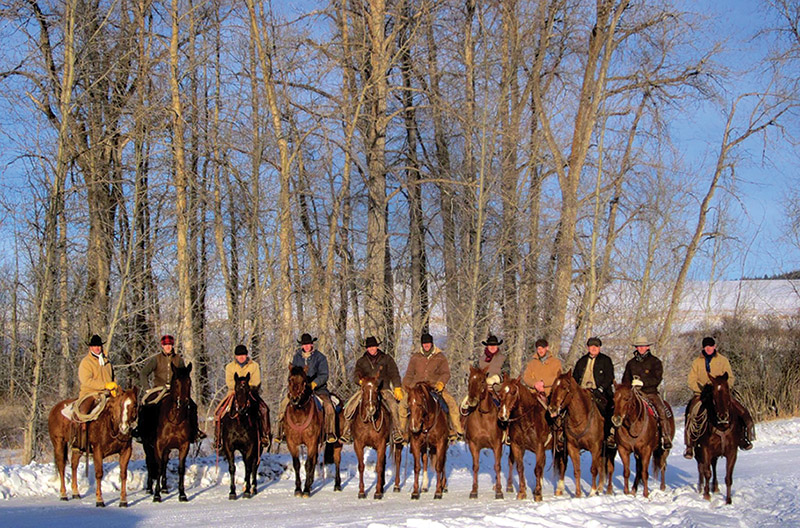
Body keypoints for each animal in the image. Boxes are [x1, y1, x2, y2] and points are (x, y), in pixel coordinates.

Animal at [145, 363, 194, 503]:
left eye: (189, 382)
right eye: (176, 382)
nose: (183, 402)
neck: (175, 419)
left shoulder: (184, 446)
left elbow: (181, 468)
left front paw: (182, 494)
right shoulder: (159, 446)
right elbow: (159, 467)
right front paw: (156, 495)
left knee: (165, 463)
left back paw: (165, 488)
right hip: (147, 446)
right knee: (150, 463)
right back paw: (149, 488)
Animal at [283, 365, 342, 497]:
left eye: (304, 381)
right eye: (290, 379)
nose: (295, 399)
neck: (299, 413)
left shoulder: (311, 442)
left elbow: (308, 464)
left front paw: (305, 490)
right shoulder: (292, 443)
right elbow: (297, 465)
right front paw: (298, 489)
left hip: (337, 442)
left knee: (337, 461)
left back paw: (337, 485)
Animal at [350, 371, 402, 499]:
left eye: (376, 389)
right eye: (363, 388)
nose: (371, 409)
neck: (369, 422)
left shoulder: (381, 443)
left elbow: (378, 466)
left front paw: (378, 492)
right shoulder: (358, 444)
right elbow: (361, 466)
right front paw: (362, 492)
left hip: (398, 443)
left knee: (398, 460)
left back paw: (396, 486)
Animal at [462, 365, 514, 499]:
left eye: (482, 381)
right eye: (469, 380)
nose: (472, 400)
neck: (483, 417)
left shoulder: (497, 445)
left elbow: (497, 466)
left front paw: (499, 491)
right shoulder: (473, 445)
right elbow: (475, 466)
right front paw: (474, 490)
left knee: (510, 462)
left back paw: (508, 486)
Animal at [690, 373, 743, 504]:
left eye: (727, 391)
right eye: (713, 394)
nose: (723, 416)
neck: (722, 426)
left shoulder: (732, 452)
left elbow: (728, 477)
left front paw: (728, 500)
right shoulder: (705, 450)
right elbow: (707, 472)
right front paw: (706, 495)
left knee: (712, 466)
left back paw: (715, 487)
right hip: (698, 452)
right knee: (701, 468)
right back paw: (701, 488)